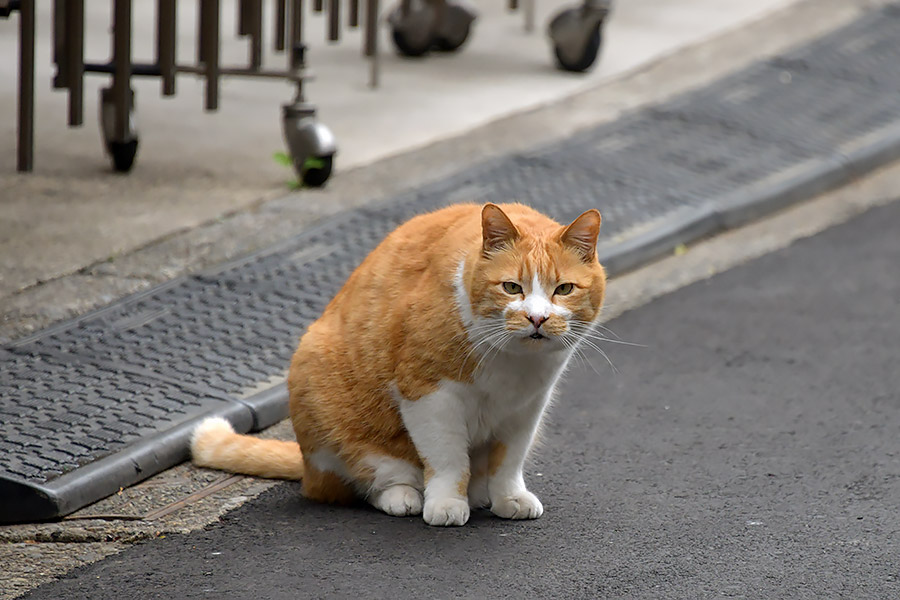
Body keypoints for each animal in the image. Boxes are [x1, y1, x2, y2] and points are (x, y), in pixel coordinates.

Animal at [190, 204, 604, 528]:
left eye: (564, 289)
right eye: (512, 287)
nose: (537, 319)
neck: (513, 364)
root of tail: (307, 467)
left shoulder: (528, 406)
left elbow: (509, 461)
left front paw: (508, 498)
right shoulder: (428, 394)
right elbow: (447, 457)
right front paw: (446, 503)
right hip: (322, 391)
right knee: (363, 480)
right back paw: (404, 496)